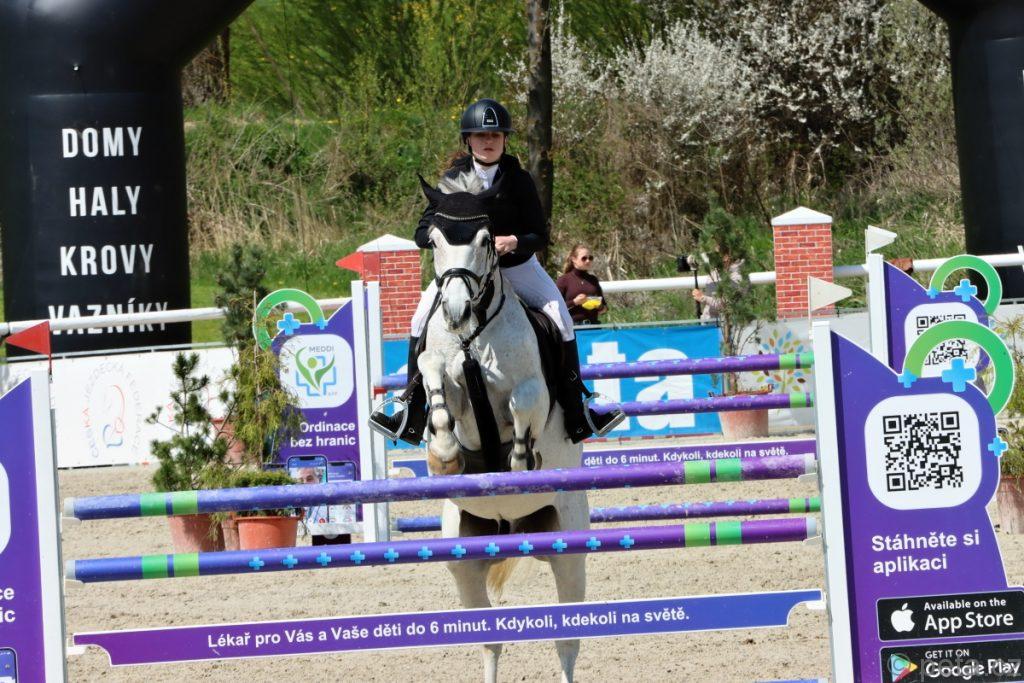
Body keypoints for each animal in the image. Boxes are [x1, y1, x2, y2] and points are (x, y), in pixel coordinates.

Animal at [415, 171, 588, 683]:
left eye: (487, 239)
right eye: (434, 239)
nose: (454, 312)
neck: (474, 336)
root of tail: (512, 528)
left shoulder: (531, 391)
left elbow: (523, 403)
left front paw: (519, 462)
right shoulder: (447, 376)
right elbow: (434, 375)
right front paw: (444, 456)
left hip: (569, 548)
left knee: (567, 639)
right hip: (464, 557)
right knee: (488, 637)